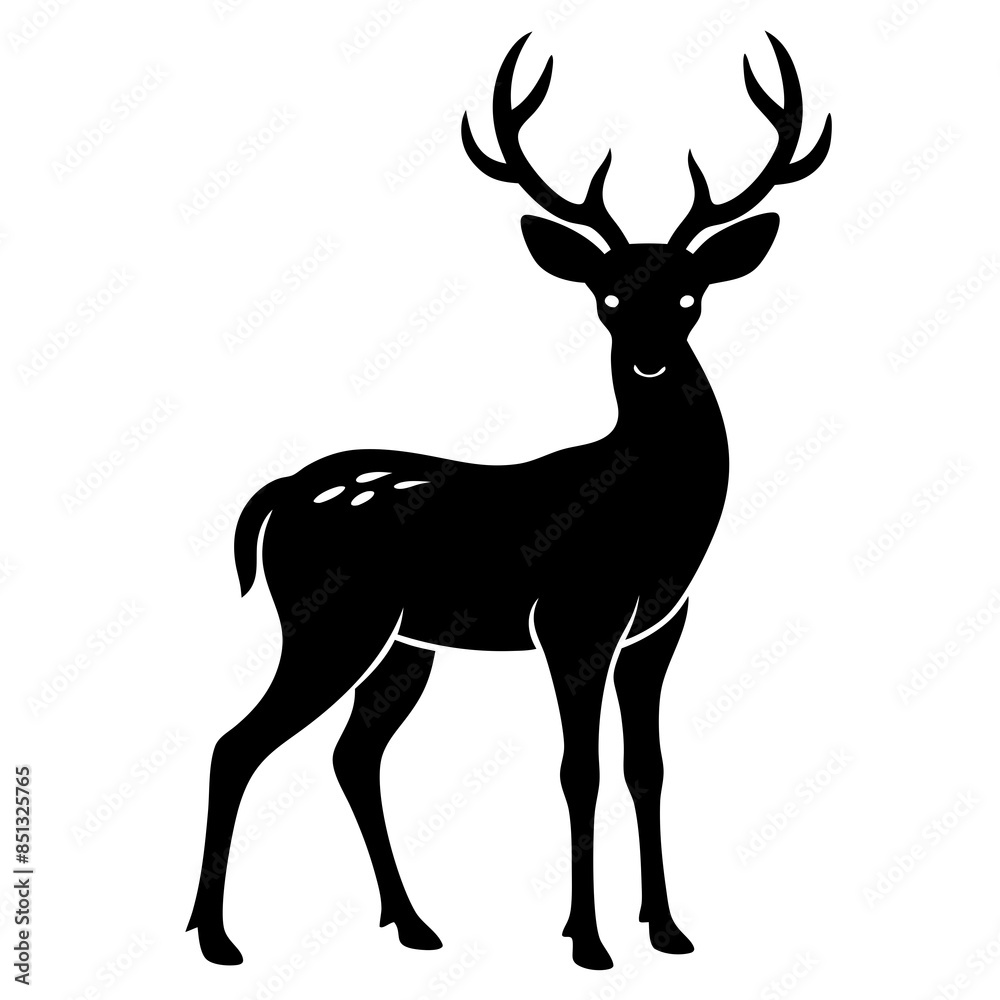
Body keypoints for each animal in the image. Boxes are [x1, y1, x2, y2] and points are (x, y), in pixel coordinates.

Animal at [187, 31, 831, 971]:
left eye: (688, 293)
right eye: (607, 296)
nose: (647, 359)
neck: (652, 517)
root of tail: (281, 496)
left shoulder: (660, 627)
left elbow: (647, 767)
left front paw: (668, 930)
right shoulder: (575, 617)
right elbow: (578, 770)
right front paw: (588, 943)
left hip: (402, 645)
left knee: (352, 755)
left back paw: (414, 924)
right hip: (328, 621)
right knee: (237, 744)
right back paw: (216, 938)